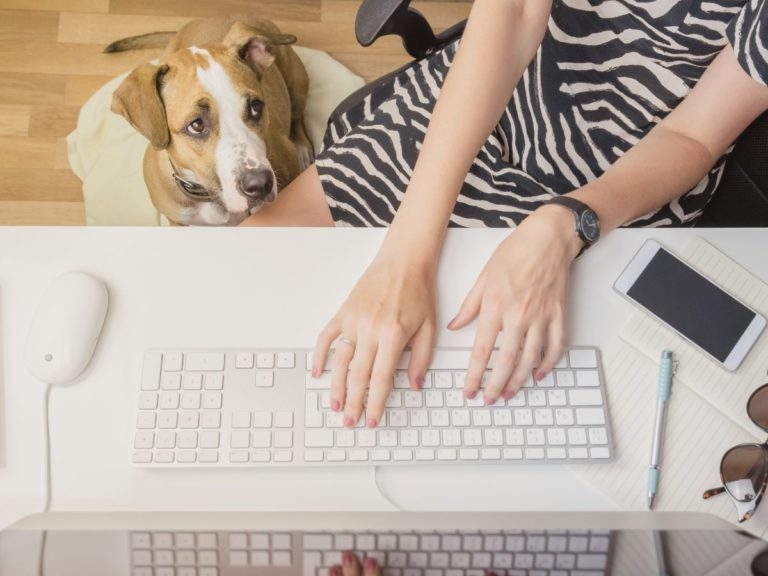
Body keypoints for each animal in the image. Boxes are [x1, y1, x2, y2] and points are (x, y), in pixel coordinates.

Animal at [107, 18, 312, 225]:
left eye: (256, 107)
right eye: (196, 125)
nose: (260, 184)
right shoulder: (176, 220)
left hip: (297, 82)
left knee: (297, 115)